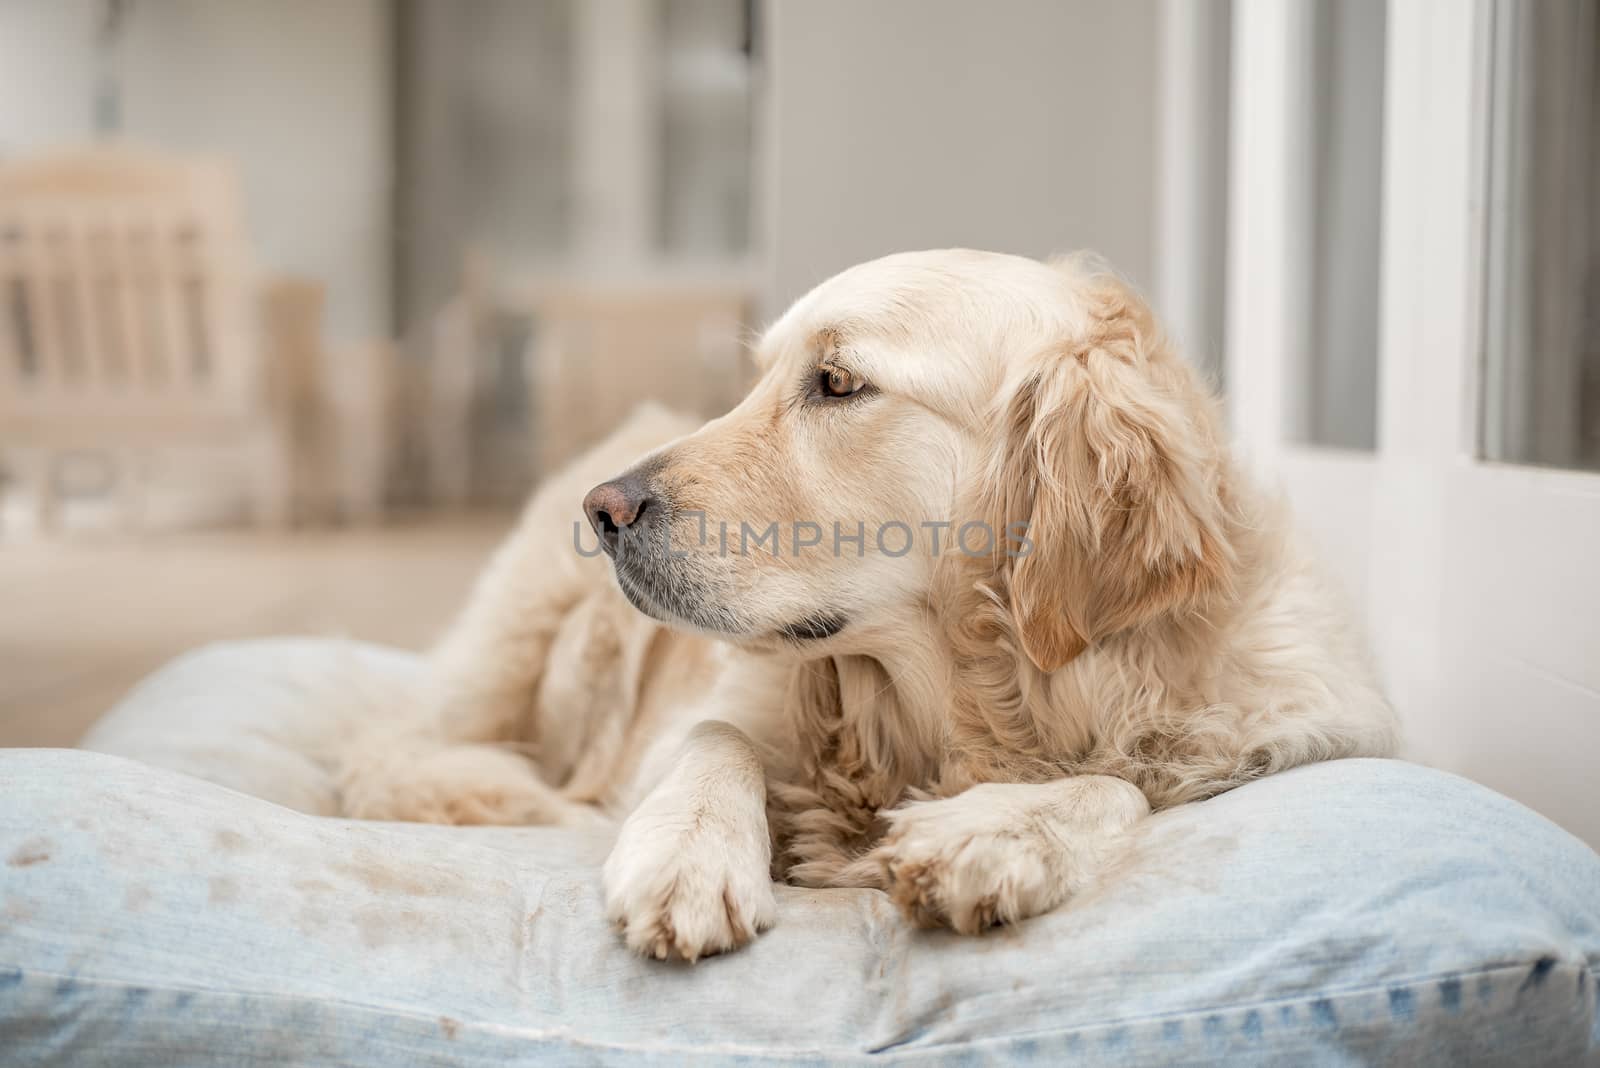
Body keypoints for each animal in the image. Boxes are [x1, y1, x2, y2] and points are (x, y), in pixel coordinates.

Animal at [340, 247, 1401, 959]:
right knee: (400, 757)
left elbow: (1125, 782)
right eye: (757, 380)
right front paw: (688, 856)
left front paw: (993, 831)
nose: (603, 510)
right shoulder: (714, 710)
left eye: (839, 382)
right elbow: (714, 738)